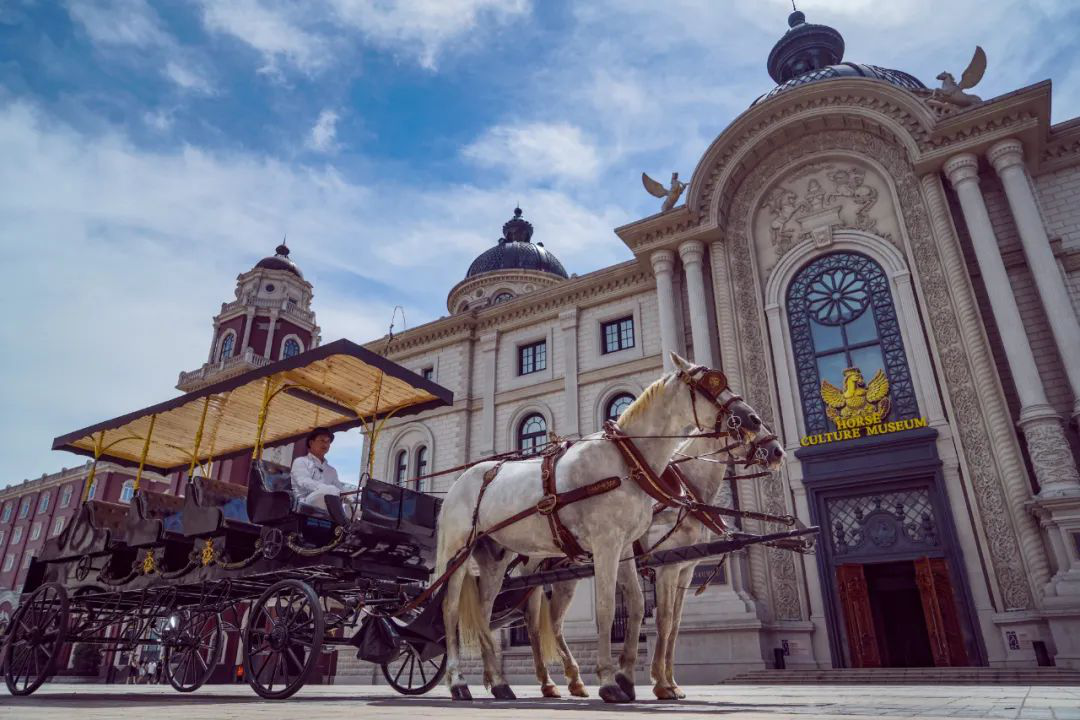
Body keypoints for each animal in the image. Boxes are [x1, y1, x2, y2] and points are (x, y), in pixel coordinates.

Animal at [516, 427, 786, 699]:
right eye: (750, 427)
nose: (777, 451)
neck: (684, 496)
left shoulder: (685, 570)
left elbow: (675, 625)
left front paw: (670, 681)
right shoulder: (667, 568)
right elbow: (663, 621)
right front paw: (661, 682)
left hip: (566, 576)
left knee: (555, 621)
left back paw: (574, 680)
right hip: (532, 571)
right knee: (532, 622)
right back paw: (547, 681)